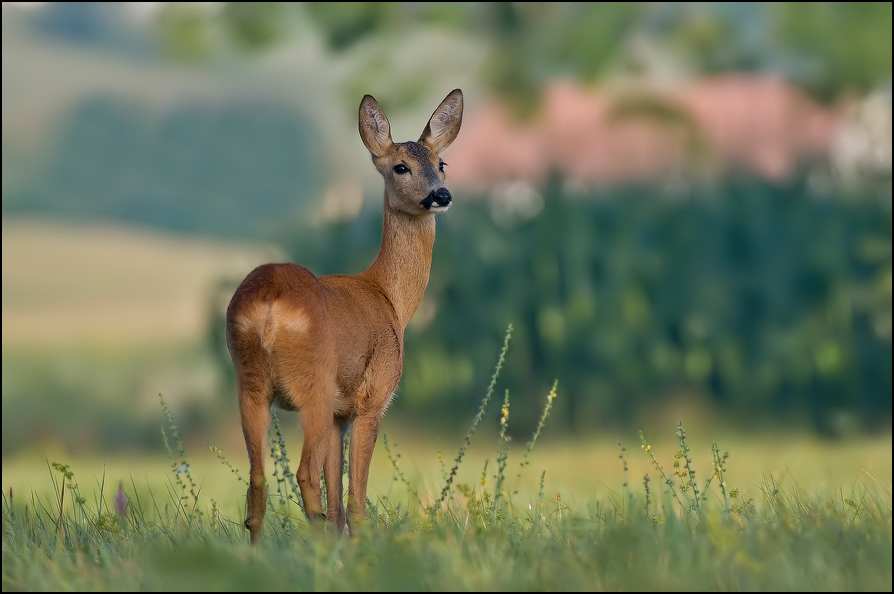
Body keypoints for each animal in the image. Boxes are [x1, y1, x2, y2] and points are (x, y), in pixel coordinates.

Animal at [224, 85, 466, 544]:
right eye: (401, 167)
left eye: (442, 163)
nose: (441, 196)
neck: (390, 298)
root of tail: (268, 307)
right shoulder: (371, 400)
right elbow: (354, 501)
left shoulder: (340, 414)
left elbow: (337, 499)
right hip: (313, 384)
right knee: (303, 476)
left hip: (250, 385)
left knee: (256, 484)